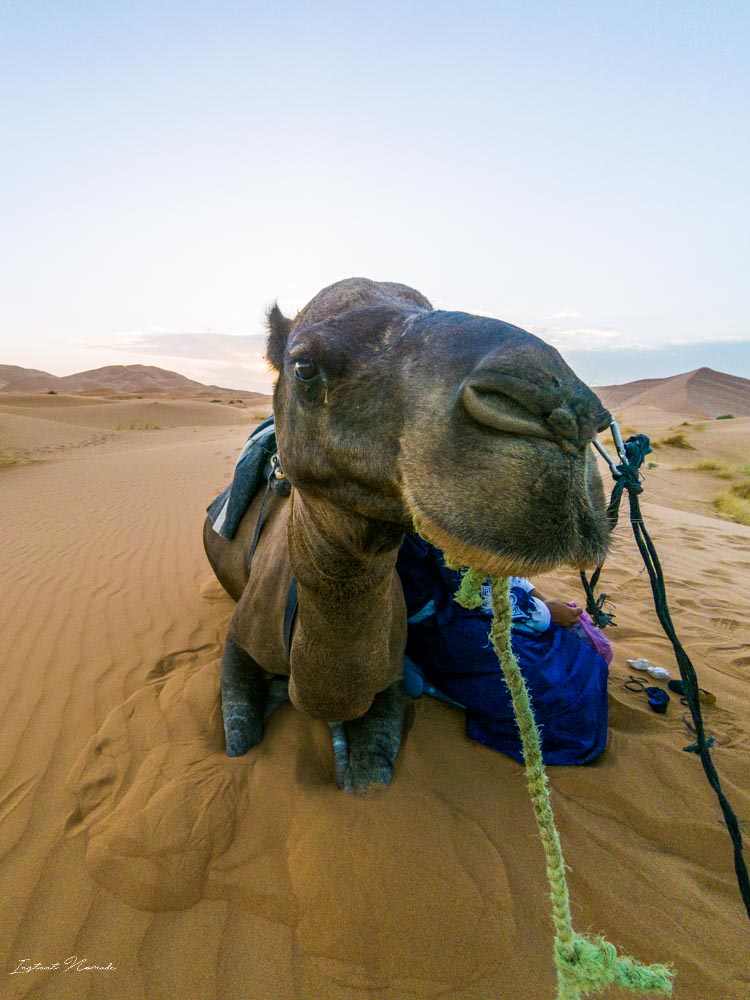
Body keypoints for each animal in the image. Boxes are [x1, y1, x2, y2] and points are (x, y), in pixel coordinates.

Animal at [204, 278, 611, 793]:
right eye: (304, 366)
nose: (568, 414)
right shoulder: (239, 646)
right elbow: (239, 741)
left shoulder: (390, 678)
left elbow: (373, 773)